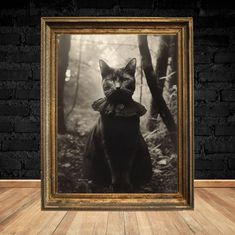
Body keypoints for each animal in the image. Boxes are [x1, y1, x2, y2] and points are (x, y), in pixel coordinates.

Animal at [83, 57, 152, 192]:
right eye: (111, 80)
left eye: (125, 79)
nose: (118, 87)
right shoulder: (107, 142)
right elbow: (113, 166)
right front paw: (115, 186)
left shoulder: (132, 141)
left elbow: (127, 166)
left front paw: (126, 186)